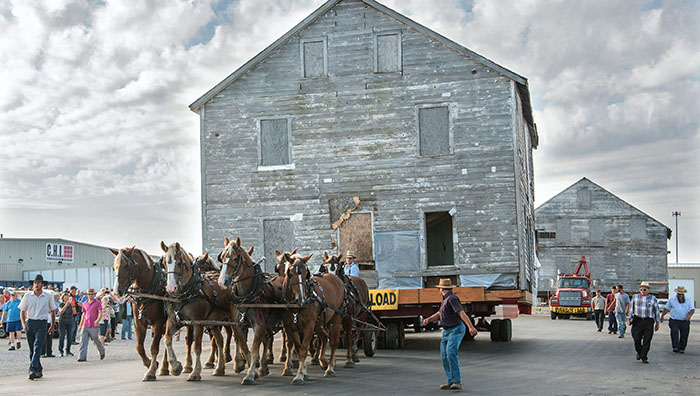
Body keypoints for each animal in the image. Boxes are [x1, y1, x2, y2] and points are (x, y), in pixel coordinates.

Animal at [112, 248, 174, 380]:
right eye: (114, 267)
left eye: (126, 266)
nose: (116, 291)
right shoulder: (139, 322)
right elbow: (139, 347)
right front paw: (150, 363)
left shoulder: (158, 322)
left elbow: (154, 348)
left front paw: (150, 371)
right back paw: (164, 368)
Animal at [161, 241, 230, 380]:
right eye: (165, 262)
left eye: (179, 263)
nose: (170, 288)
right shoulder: (174, 321)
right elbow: (167, 339)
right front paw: (175, 367)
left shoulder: (198, 322)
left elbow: (197, 346)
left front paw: (195, 372)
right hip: (214, 322)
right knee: (220, 340)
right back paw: (220, 368)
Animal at [216, 237, 288, 386]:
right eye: (222, 257)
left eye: (236, 258)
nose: (221, 282)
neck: (246, 295)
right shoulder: (239, 325)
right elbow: (245, 348)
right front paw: (253, 371)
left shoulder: (258, 325)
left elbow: (254, 349)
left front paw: (249, 375)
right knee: (267, 339)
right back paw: (264, 367)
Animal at [278, 252, 344, 386]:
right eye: (290, 273)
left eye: (306, 274)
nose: (301, 299)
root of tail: (336, 278)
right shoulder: (290, 326)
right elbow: (298, 348)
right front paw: (303, 372)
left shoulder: (309, 325)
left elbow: (303, 349)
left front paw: (299, 376)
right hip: (320, 323)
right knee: (324, 338)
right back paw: (323, 360)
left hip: (335, 318)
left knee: (333, 342)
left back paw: (330, 368)